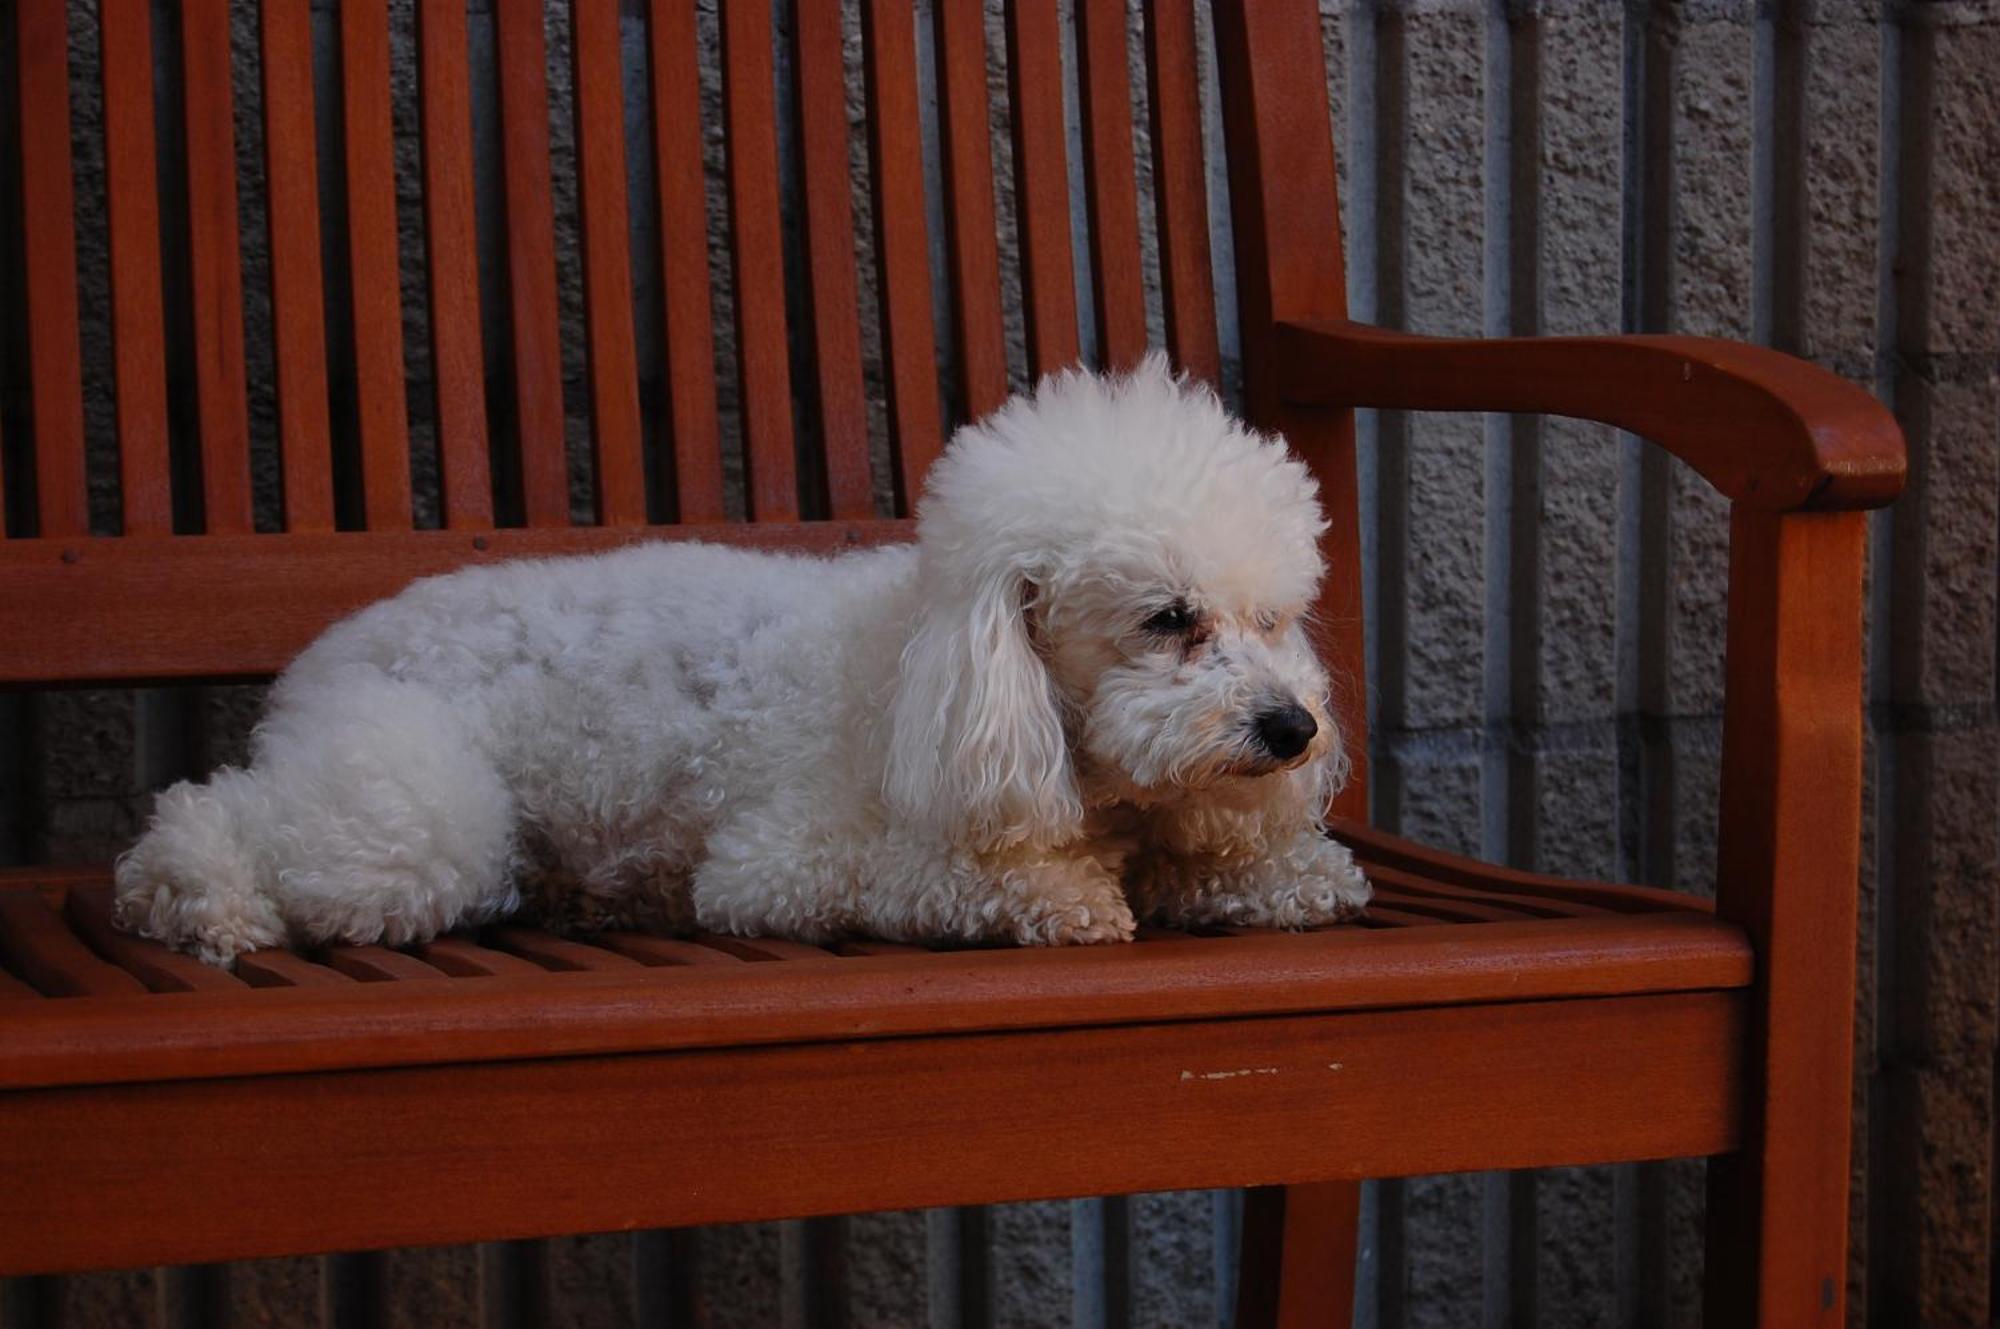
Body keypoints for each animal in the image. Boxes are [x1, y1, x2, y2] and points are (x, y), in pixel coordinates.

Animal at [113, 356, 1376, 964]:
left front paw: (1293, 876)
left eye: (1274, 619)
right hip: (424, 816)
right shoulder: (782, 864)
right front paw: (1060, 896)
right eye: (1167, 619)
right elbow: (943, 878)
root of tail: (323, 654)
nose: (1292, 730)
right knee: (212, 818)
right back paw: (197, 902)